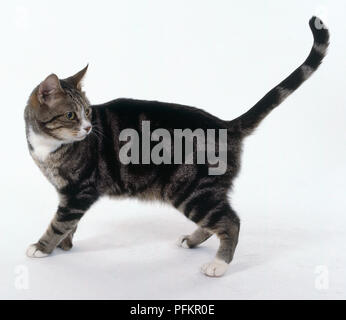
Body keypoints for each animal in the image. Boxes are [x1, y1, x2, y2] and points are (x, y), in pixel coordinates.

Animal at [25, 16, 330, 278]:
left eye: (87, 112)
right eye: (71, 115)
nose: (89, 128)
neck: (48, 146)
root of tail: (225, 124)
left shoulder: (80, 190)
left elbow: (59, 222)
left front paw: (42, 247)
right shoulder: (68, 192)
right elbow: (70, 224)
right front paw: (65, 245)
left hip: (191, 189)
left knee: (230, 221)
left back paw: (219, 264)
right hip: (200, 192)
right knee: (216, 221)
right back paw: (192, 241)